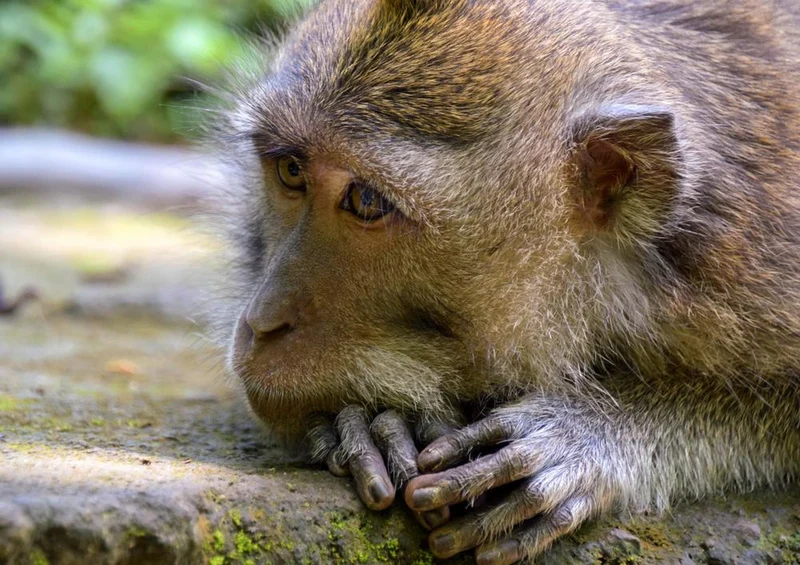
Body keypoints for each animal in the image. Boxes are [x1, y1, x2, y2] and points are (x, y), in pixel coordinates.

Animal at [209, 0, 800, 562]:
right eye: (290, 171)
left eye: (367, 201)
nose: (263, 322)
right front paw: (374, 417)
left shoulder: (754, 268)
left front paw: (591, 431)